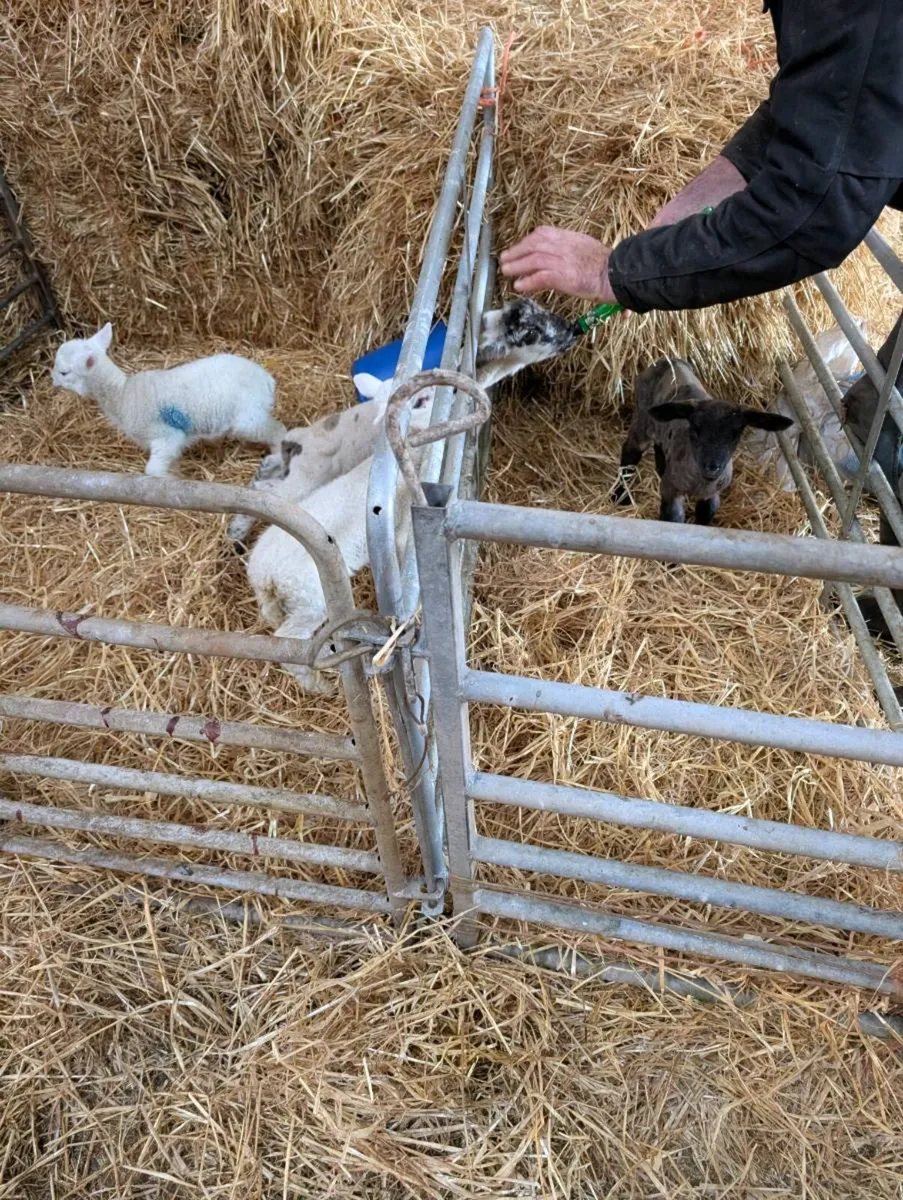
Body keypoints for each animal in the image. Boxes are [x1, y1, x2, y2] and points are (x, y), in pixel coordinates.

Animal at [51, 323, 285, 476]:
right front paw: (176, 476)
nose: (52, 380)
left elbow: (153, 471)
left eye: (64, 372)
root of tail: (267, 379)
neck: (123, 395)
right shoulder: (171, 445)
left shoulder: (166, 436)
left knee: (278, 431)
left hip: (248, 417)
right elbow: (171, 463)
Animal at [226, 371, 417, 551]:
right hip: (304, 481)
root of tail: (299, 439)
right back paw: (236, 532)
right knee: (267, 492)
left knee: (266, 471)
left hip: (294, 469)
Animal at [246, 378, 435, 693]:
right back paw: (317, 685)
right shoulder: (400, 531)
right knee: (289, 640)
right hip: (308, 599)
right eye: (421, 400)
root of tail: (263, 574)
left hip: (281, 602)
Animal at [612, 357, 793, 524]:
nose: (712, 466)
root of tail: (669, 359)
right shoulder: (671, 491)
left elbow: (704, 519)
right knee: (630, 452)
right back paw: (620, 497)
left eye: (736, 434)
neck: (702, 483)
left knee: (659, 447)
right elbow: (673, 519)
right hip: (642, 419)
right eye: (695, 428)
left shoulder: (711, 496)